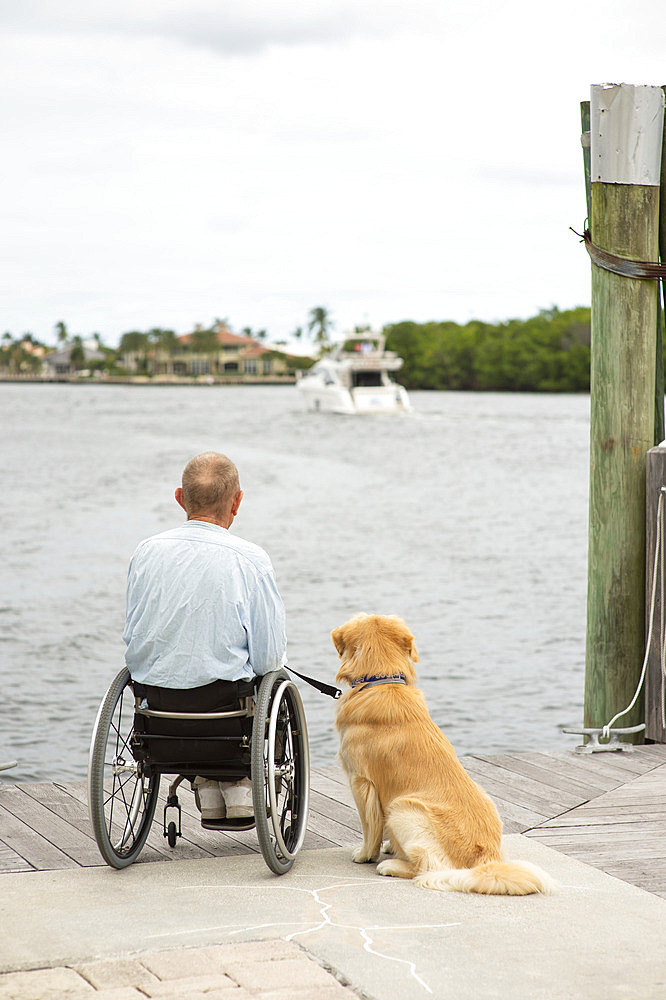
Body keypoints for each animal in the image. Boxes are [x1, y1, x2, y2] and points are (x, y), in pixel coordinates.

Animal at [332, 612, 556, 896]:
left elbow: (369, 827)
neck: (381, 682)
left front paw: (365, 854)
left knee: (431, 867)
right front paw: (391, 846)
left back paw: (392, 866)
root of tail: (487, 858)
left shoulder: (361, 781)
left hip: (402, 807)